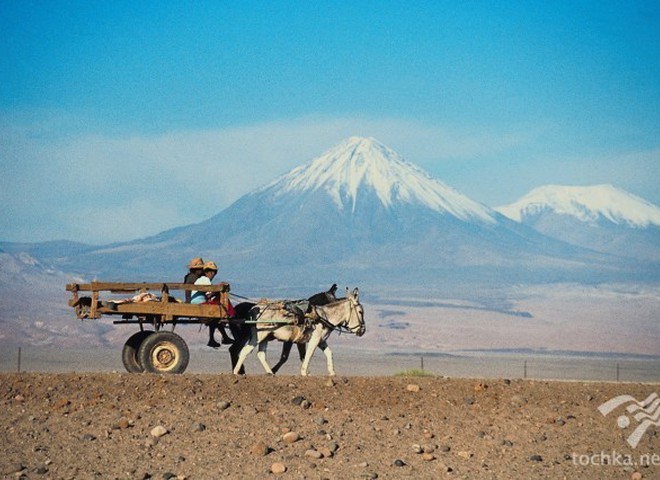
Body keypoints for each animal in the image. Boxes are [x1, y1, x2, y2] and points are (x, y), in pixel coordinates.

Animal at [232, 286, 366, 376]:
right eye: (361, 312)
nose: (363, 330)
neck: (322, 317)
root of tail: (254, 308)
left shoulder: (321, 341)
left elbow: (329, 353)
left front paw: (332, 373)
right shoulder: (313, 340)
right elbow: (308, 354)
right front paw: (304, 373)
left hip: (266, 337)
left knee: (261, 354)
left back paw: (270, 373)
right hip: (259, 335)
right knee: (244, 351)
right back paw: (236, 372)